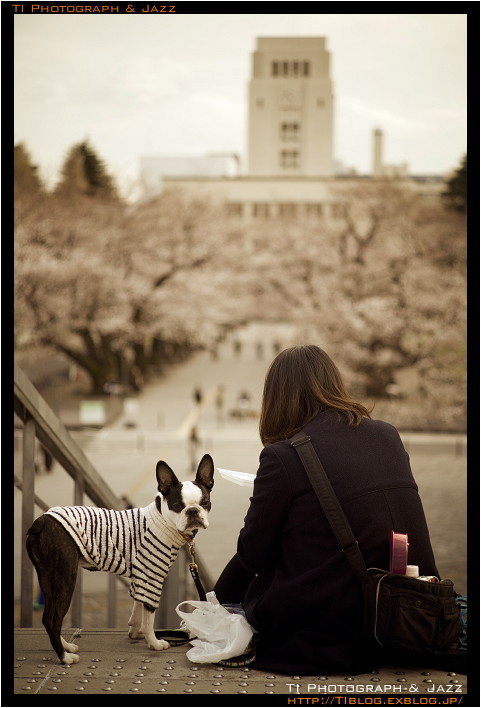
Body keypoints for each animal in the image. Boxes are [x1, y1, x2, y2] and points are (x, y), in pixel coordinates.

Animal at [25, 454, 214, 664]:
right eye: (177, 506)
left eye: (205, 502)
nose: (193, 511)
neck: (163, 520)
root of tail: (41, 521)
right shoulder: (152, 577)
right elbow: (149, 615)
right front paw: (154, 642)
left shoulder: (140, 577)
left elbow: (137, 605)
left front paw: (135, 631)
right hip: (65, 577)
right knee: (54, 619)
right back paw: (65, 657)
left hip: (47, 578)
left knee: (47, 617)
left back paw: (66, 646)